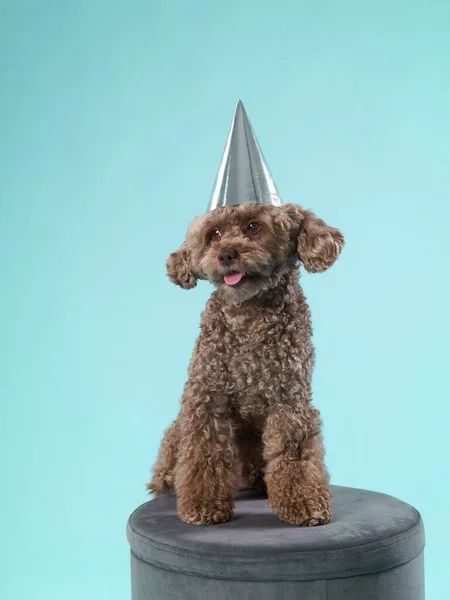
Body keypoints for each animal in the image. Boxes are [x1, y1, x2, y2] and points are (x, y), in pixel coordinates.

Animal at [148, 202, 344, 524]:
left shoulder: (289, 401)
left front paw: (304, 503)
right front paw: (202, 504)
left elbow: (294, 454)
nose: (226, 254)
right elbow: (205, 453)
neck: (249, 315)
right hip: (178, 430)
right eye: (214, 234)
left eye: (253, 226)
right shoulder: (206, 397)